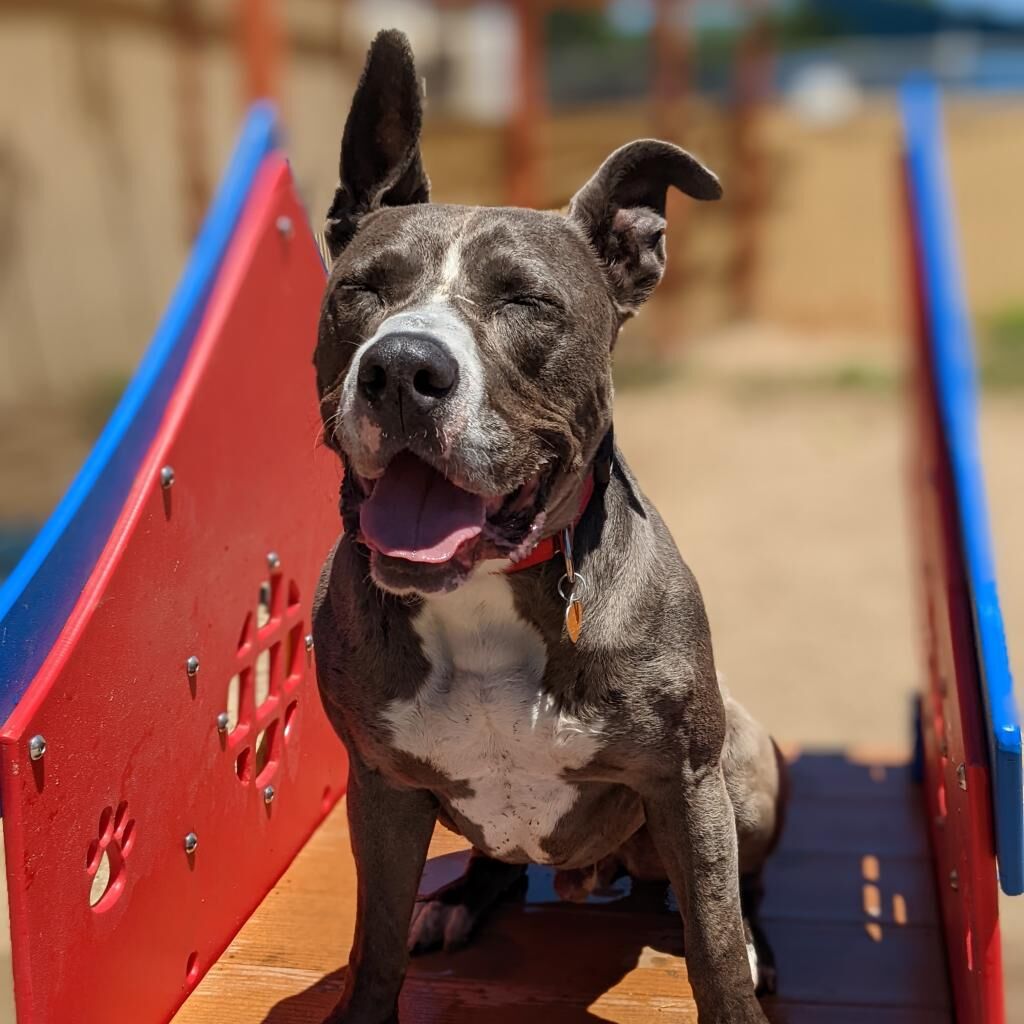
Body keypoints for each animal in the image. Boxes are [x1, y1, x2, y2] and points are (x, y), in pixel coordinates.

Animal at [312, 30, 785, 1024]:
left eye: (527, 302)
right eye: (362, 291)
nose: (401, 368)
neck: (486, 596)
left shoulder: (687, 783)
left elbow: (716, 950)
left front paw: (736, 968)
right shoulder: (380, 786)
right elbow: (376, 941)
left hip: (745, 765)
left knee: (741, 892)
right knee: (491, 868)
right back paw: (458, 901)